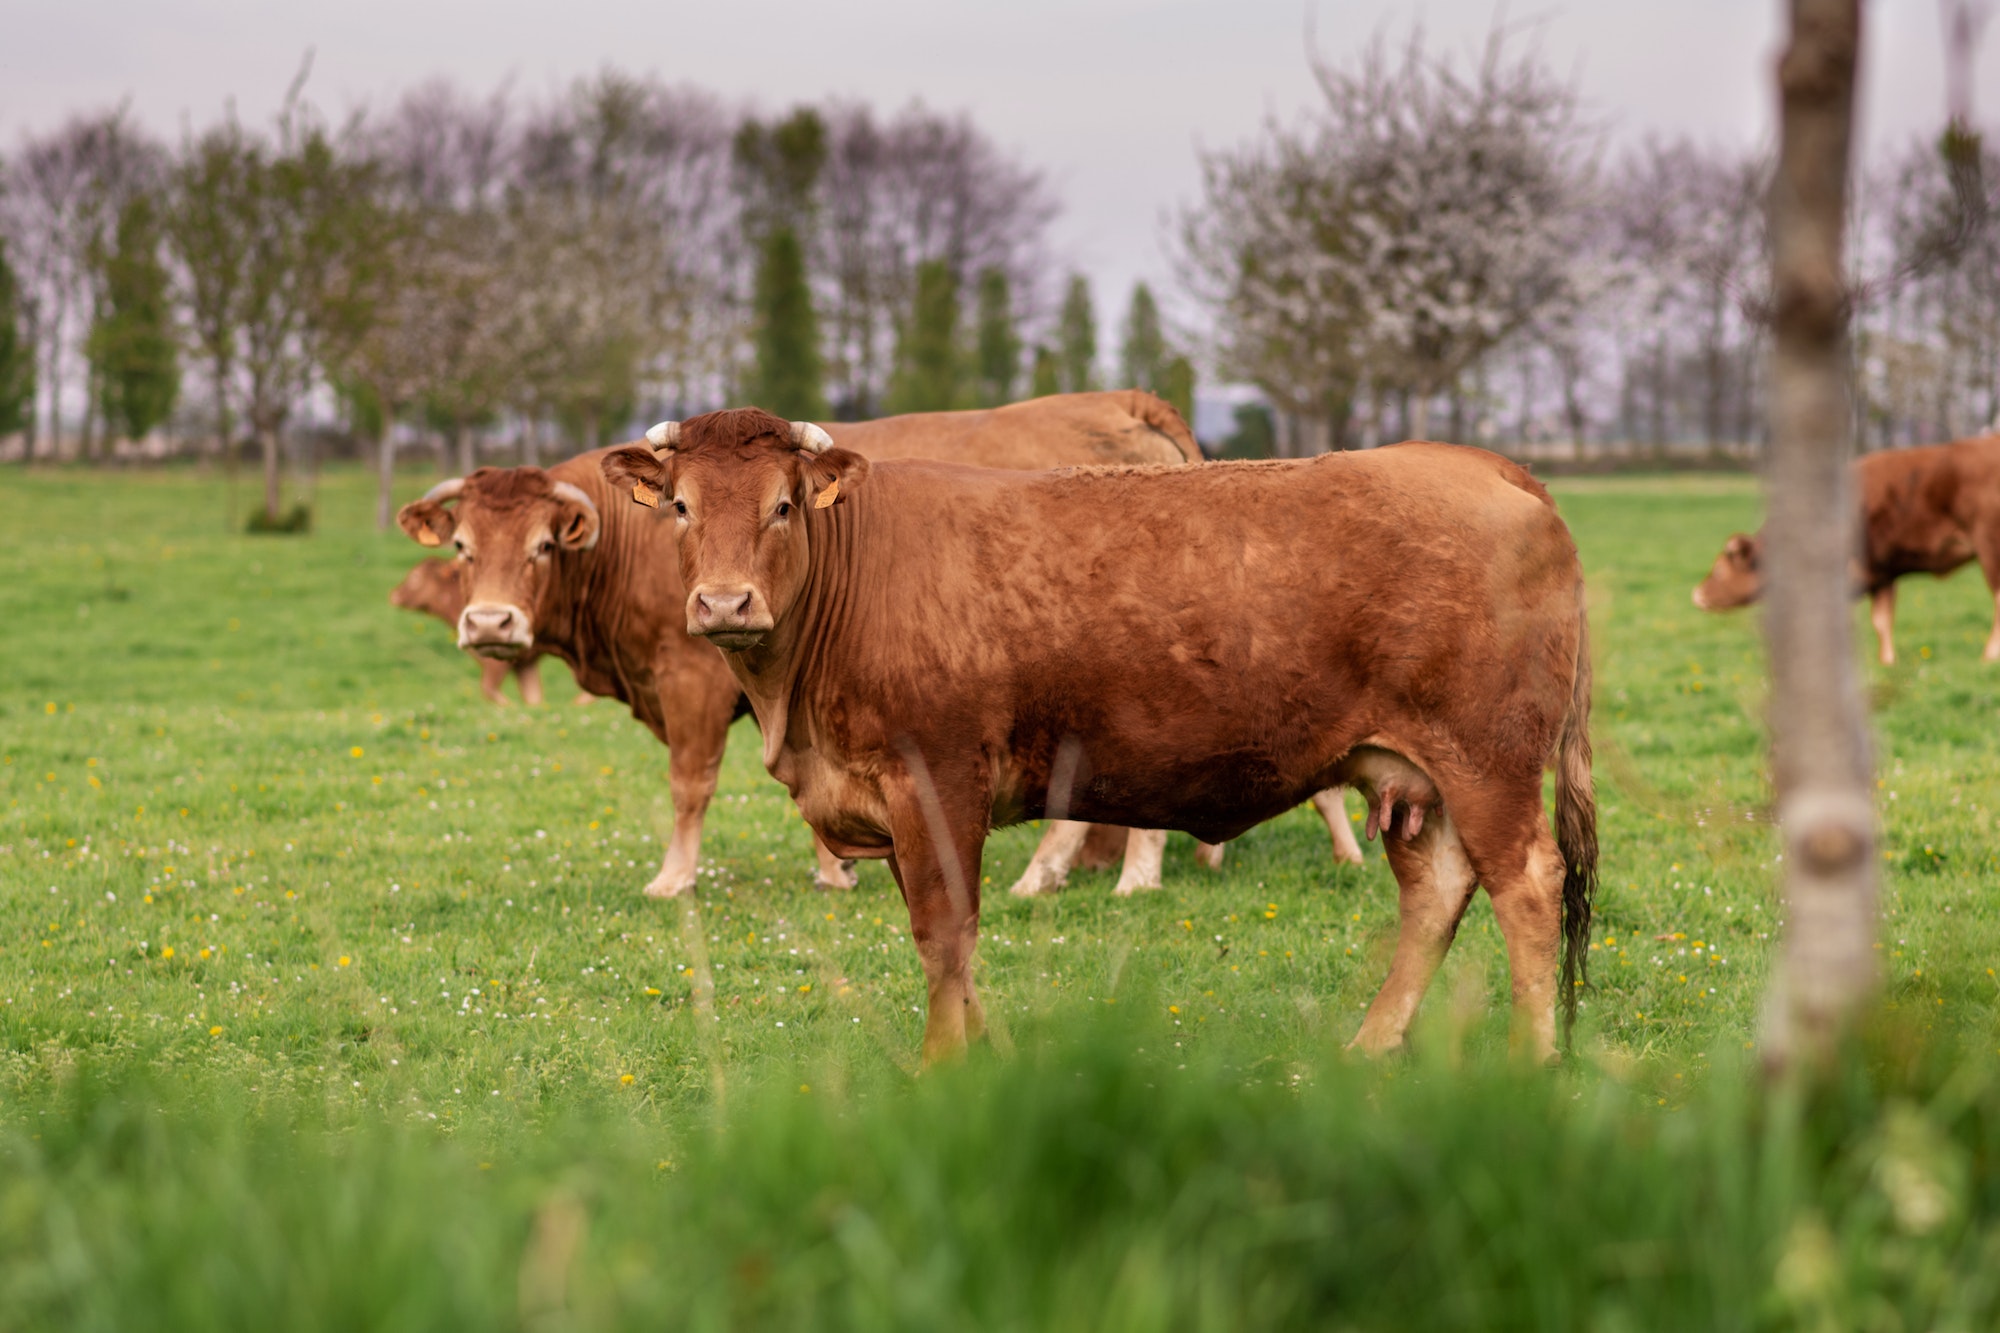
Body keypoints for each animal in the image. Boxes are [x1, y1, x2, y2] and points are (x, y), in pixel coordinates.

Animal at [386, 556, 548, 704]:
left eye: (415, 576)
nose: (394, 595)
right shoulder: (526, 663)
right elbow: (535, 701)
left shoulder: (497, 662)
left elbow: (491, 692)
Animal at [600, 410, 1600, 1064]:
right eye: (681, 506)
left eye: (782, 505)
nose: (724, 603)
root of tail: (1478, 463)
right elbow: (951, 941)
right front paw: (990, 1049)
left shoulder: (936, 779)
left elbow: (943, 931)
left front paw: (940, 1066)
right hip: (1411, 774)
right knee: (1437, 892)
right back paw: (1369, 1046)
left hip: (1489, 761)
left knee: (1527, 885)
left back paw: (1532, 1059)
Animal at [1696, 436, 2000, 664]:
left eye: (1720, 571)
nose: (1697, 594)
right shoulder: (1881, 574)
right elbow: (1882, 622)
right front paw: (1887, 662)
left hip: (1989, 547)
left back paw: (1989, 656)